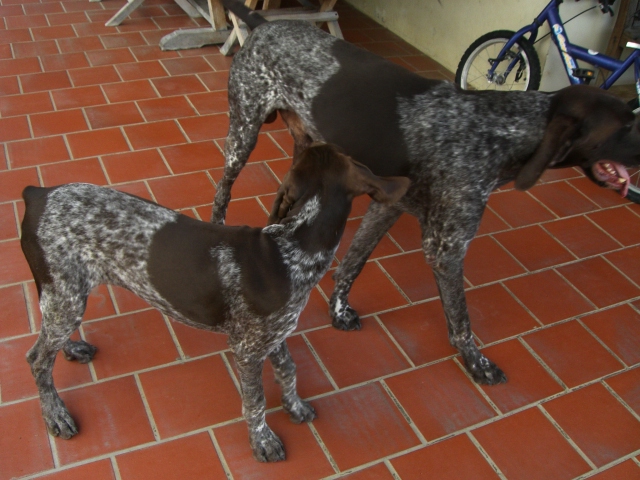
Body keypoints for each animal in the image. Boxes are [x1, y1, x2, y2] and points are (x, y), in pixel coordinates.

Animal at [20, 143, 410, 462]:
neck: (291, 246)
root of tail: (37, 194)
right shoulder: (247, 349)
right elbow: (255, 400)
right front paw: (262, 440)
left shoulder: (274, 335)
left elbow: (289, 370)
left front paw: (295, 406)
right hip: (64, 293)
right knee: (37, 358)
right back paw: (55, 413)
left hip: (66, 294)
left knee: (51, 337)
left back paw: (72, 349)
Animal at [212, 0, 640, 385]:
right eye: (623, 127)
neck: (501, 130)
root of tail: (263, 24)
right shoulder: (445, 248)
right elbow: (461, 320)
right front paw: (476, 363)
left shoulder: (388, 206)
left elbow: (351, 264)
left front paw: (338, 311)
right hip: (243, 134)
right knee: (222, 191)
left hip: (304, 152)